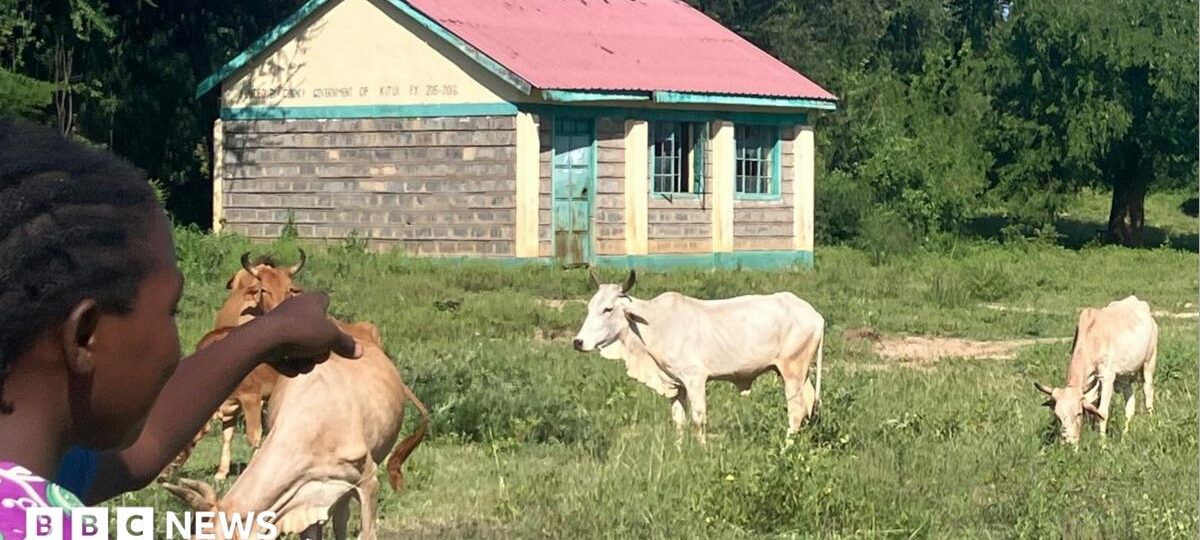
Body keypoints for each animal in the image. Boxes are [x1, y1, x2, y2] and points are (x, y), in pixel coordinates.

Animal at [572, 270, 823, 444]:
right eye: (590, 307)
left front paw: (702, 451)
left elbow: (698, 418)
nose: (578, 342)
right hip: (800, 374)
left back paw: (786, 447)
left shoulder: (695, 379)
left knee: (796, 410)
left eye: (607, 309)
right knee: (810, 404)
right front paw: (679, 451)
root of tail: (815, 315)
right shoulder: (676, 386)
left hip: (792, 371)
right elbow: (679, 421)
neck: (653, 324)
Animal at [1034, 295, 1158, 445]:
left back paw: (1150, 427)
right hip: (1124, 378)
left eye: (1078, 413)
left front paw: (1102, 444)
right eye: (1058, 416)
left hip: (1148, 364)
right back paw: (1124, 437)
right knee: (1129, 406)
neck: (1092, 339)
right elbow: (1093, 410)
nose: (1068, 441)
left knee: (1148, 395)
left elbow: (1102, 412)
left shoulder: (1107, 378)